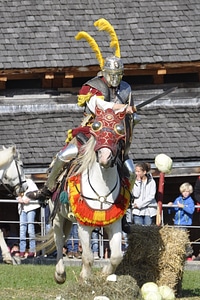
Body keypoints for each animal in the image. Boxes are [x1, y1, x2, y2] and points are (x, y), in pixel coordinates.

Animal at [40, 106, 131, 284]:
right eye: (96, 127)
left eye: (119, 130)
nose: (105, 157)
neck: (102, 186)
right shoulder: (83, 225)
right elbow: (88, 257)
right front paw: (85, 277)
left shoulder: (114, 223)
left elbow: (116, 256)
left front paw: (104, 273)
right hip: (58, 217)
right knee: (59, 240)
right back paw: (60, 274)